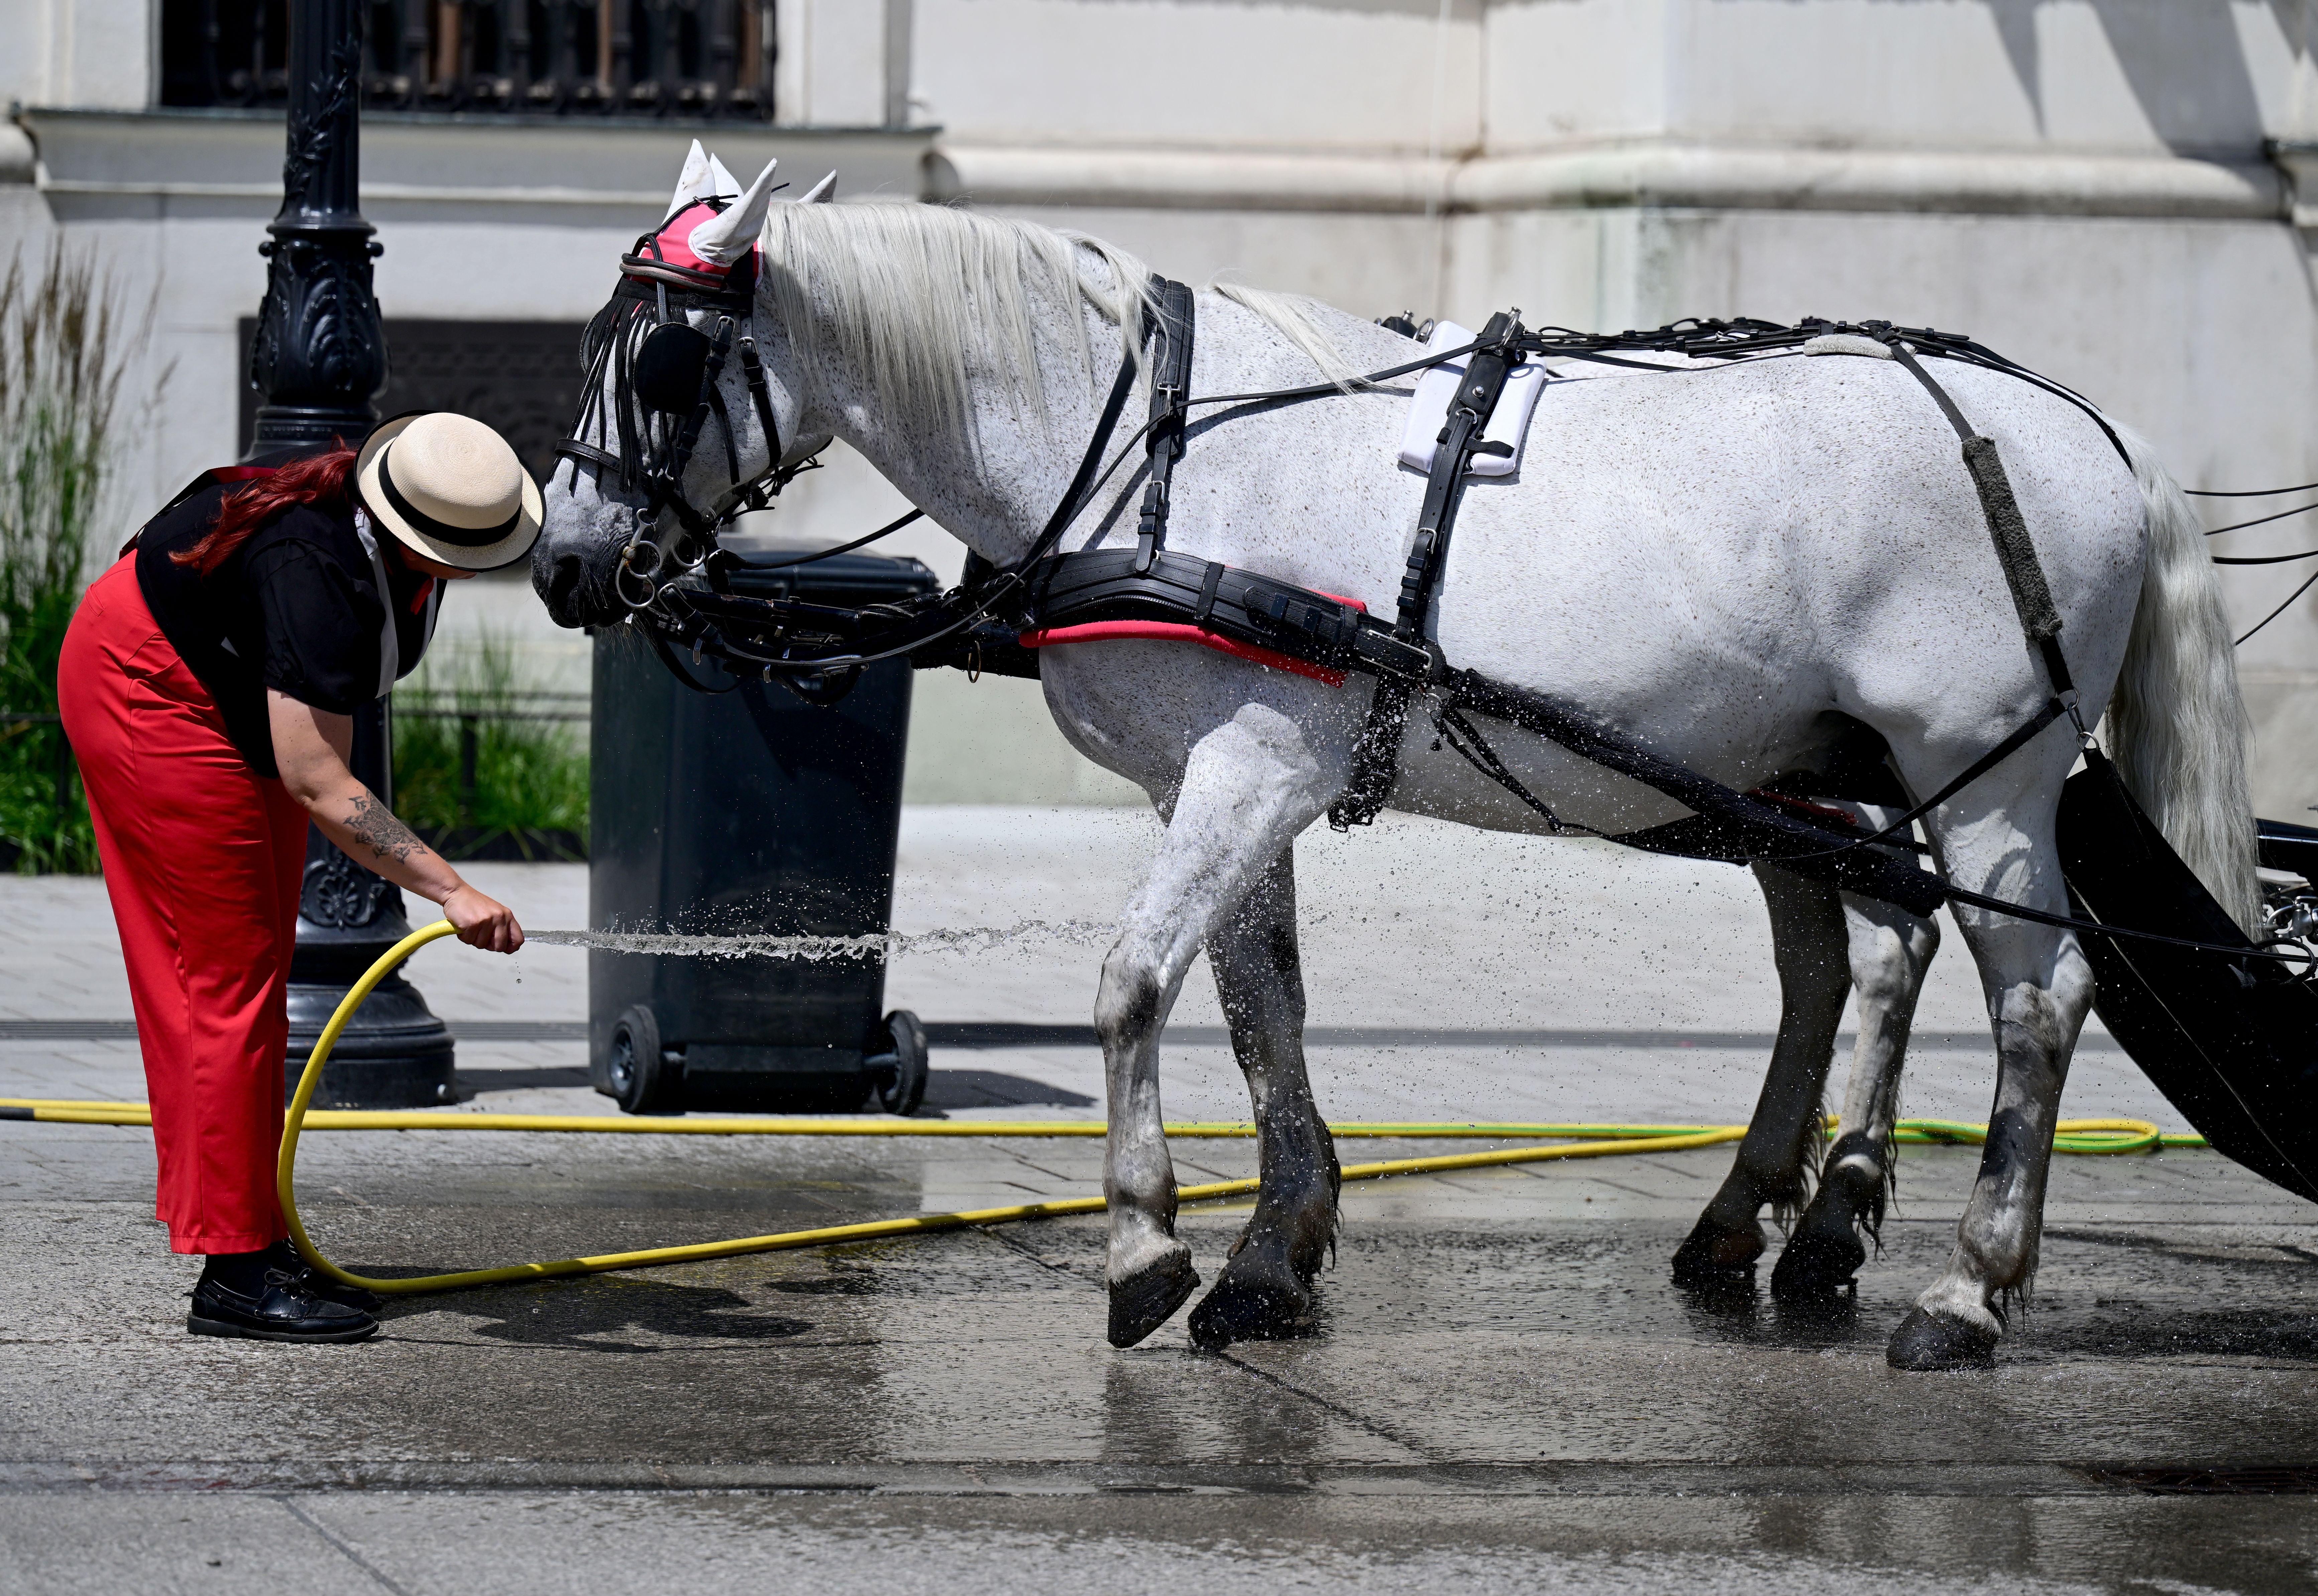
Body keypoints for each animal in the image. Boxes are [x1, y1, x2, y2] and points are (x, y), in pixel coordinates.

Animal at [533, 151, 2256, 1372]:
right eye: (591, 346)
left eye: (667, 367)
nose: (562, 564)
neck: (1155, 446)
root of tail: (2091, 435)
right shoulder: (1226, 781)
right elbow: (1259, 1007)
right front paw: (1270, 1252)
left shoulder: (1248, 771)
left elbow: (1134, 981)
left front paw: (1148, 1248)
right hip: (1804, 778)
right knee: (1851, 959)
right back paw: (1787, 1219)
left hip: (1982, 784)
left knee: (2032, 1001)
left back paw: (1963, 1287)